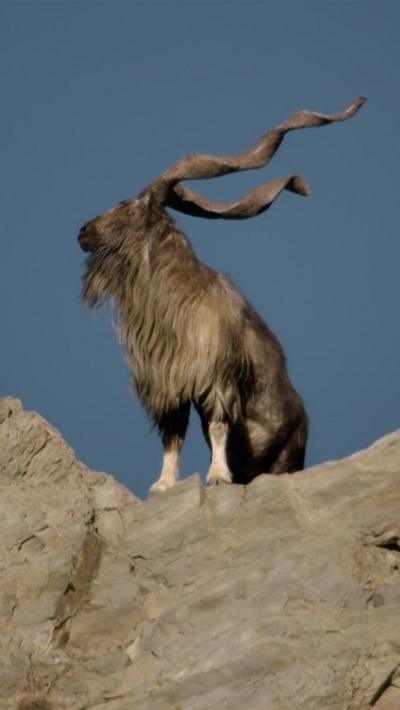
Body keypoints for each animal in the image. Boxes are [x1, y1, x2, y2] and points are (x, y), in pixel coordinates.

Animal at [78, 96, 366, 496]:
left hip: (289, 454)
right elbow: (172, 437)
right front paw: (162, 486)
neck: (176, 303)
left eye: (128, 206)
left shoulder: (216, 378)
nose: (83, 232)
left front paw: (216, 477)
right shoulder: (170, 388)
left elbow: (217, 427)